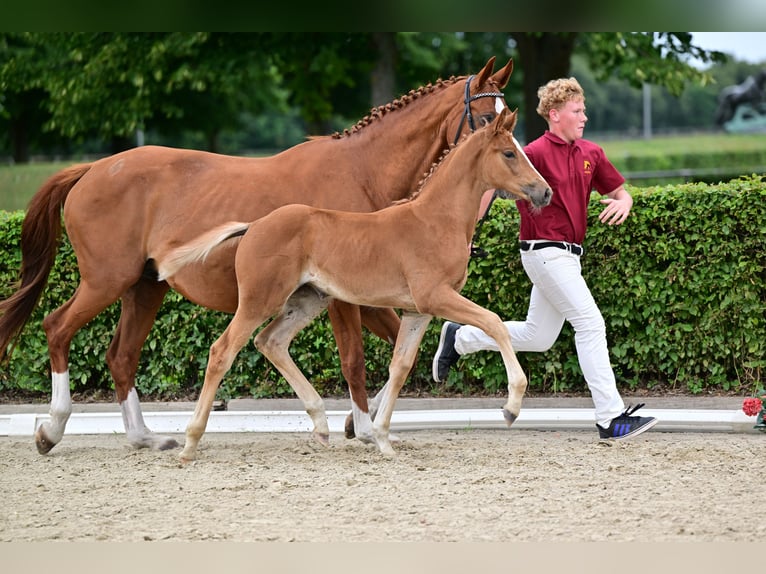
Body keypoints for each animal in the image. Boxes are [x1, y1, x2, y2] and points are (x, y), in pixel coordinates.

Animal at [0, 57, 514, 455]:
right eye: (486, 119)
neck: (362, 171)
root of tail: (93, 169)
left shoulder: (370, 292)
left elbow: (396, 347)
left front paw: (361, 423)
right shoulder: (345, 298)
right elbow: (354, 358)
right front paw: (364, 427)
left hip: (144, 288)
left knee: (121, 355)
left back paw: (146, 437)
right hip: (105, 281)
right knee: (57, 328)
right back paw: (52, 428)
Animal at [157, 107, 552, 459]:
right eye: (509, 153)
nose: (545, 192)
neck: (435, 219)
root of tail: (254, 225)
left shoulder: (417, 312)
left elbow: (400, 366)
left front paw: (382, 439)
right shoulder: (435, 297)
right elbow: (494, 323)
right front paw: (512, 406)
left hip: (308, 300)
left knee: (270, 341)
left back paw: (320, 424)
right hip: (259, 300)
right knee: (222, 351)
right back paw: (190, 444)